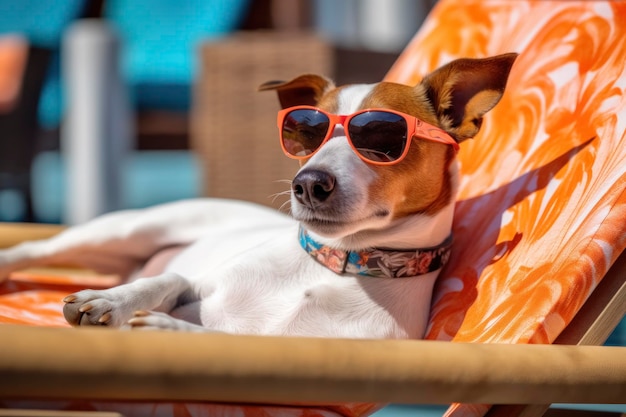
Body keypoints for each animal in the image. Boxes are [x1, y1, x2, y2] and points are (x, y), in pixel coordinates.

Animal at [0, 52, 516, 338]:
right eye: (305, 132)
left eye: (383, 137)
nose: (308, 183)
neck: (334, 266)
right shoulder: (197, 281)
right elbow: (166, 280)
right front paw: (111, 303)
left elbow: (221, 338)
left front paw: (166, 326)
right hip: (126, 228)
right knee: (37, 249)